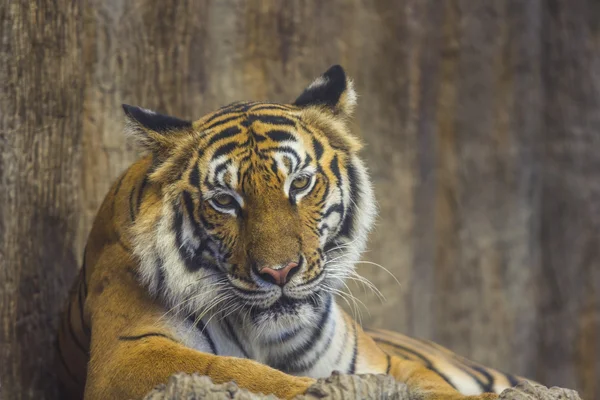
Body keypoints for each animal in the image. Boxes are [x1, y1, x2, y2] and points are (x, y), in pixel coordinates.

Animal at [57, 65, 524, 400]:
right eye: (224, 200)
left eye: (298, 183)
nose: (279, 272)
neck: (268, 336)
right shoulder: (130, 350)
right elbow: (242, 372)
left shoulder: (379, 362)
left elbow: (433, 385)